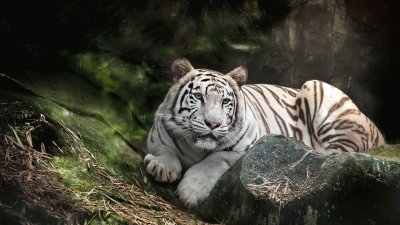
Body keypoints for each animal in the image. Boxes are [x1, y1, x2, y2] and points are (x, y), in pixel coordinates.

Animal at [144, 58, 384, 207]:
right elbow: (165, 149)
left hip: (320, 91)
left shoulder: (244, 146)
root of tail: (377, 128)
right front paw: (162, 167)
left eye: (225, 102)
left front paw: (191, 191)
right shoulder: (157, 135)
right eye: (198, 97)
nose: (213, 123)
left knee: (337, 155)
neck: (196, 147)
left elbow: (214, 160)